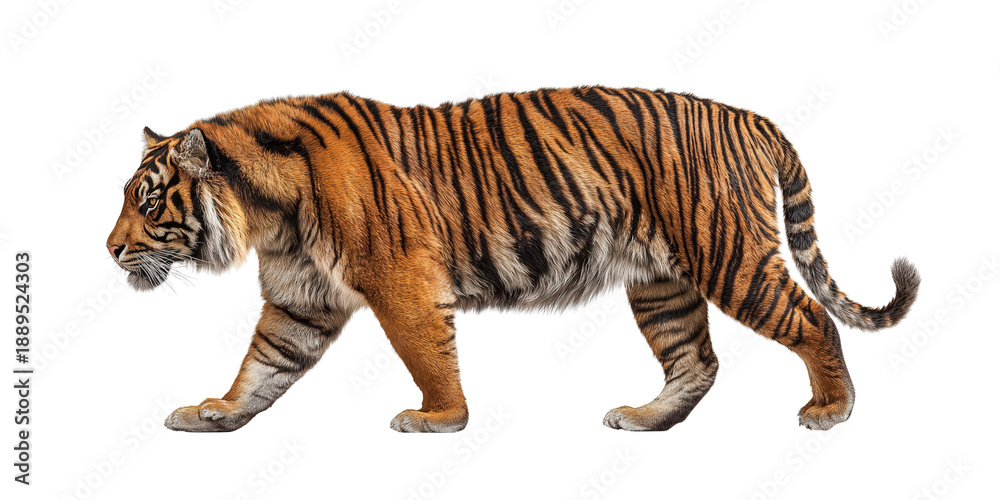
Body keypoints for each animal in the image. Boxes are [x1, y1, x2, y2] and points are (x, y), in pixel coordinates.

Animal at [106, 86, 919, 433]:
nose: (110, 250)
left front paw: (440, 419)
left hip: (730, 256)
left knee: (815, 321)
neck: (266, 214)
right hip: (662, 282)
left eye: (147, 203)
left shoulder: (401, 282)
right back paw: (645, 418)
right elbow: (263, 365)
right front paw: (216, 413)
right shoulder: (301, 299)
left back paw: (831, 410)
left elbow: (426, 354)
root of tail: (750, 116)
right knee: (696, 361)